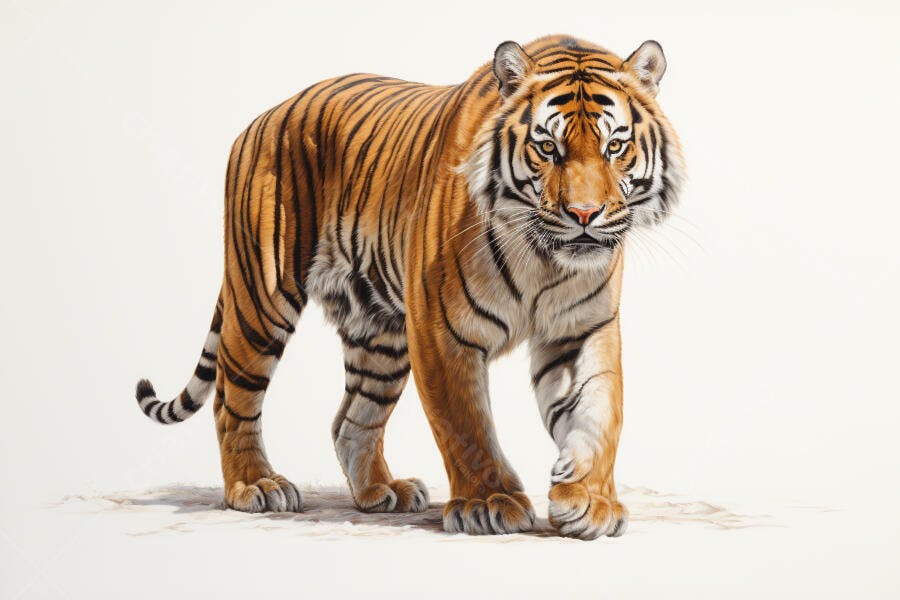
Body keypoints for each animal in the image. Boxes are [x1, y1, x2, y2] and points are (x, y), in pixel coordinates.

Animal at [135, 34, 685, 540]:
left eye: (615, 146)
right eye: (548, 147)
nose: (584, 215)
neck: (544, 259)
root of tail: (262, 118)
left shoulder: (582, 328)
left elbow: (599, 413)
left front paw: (589, 501)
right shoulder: (442, 330)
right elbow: (465, 424)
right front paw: (489, 503)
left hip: (378, 330)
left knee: (351, 420)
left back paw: (381, 491)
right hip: (263, 297)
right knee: (233, 397)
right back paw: (255, 485)